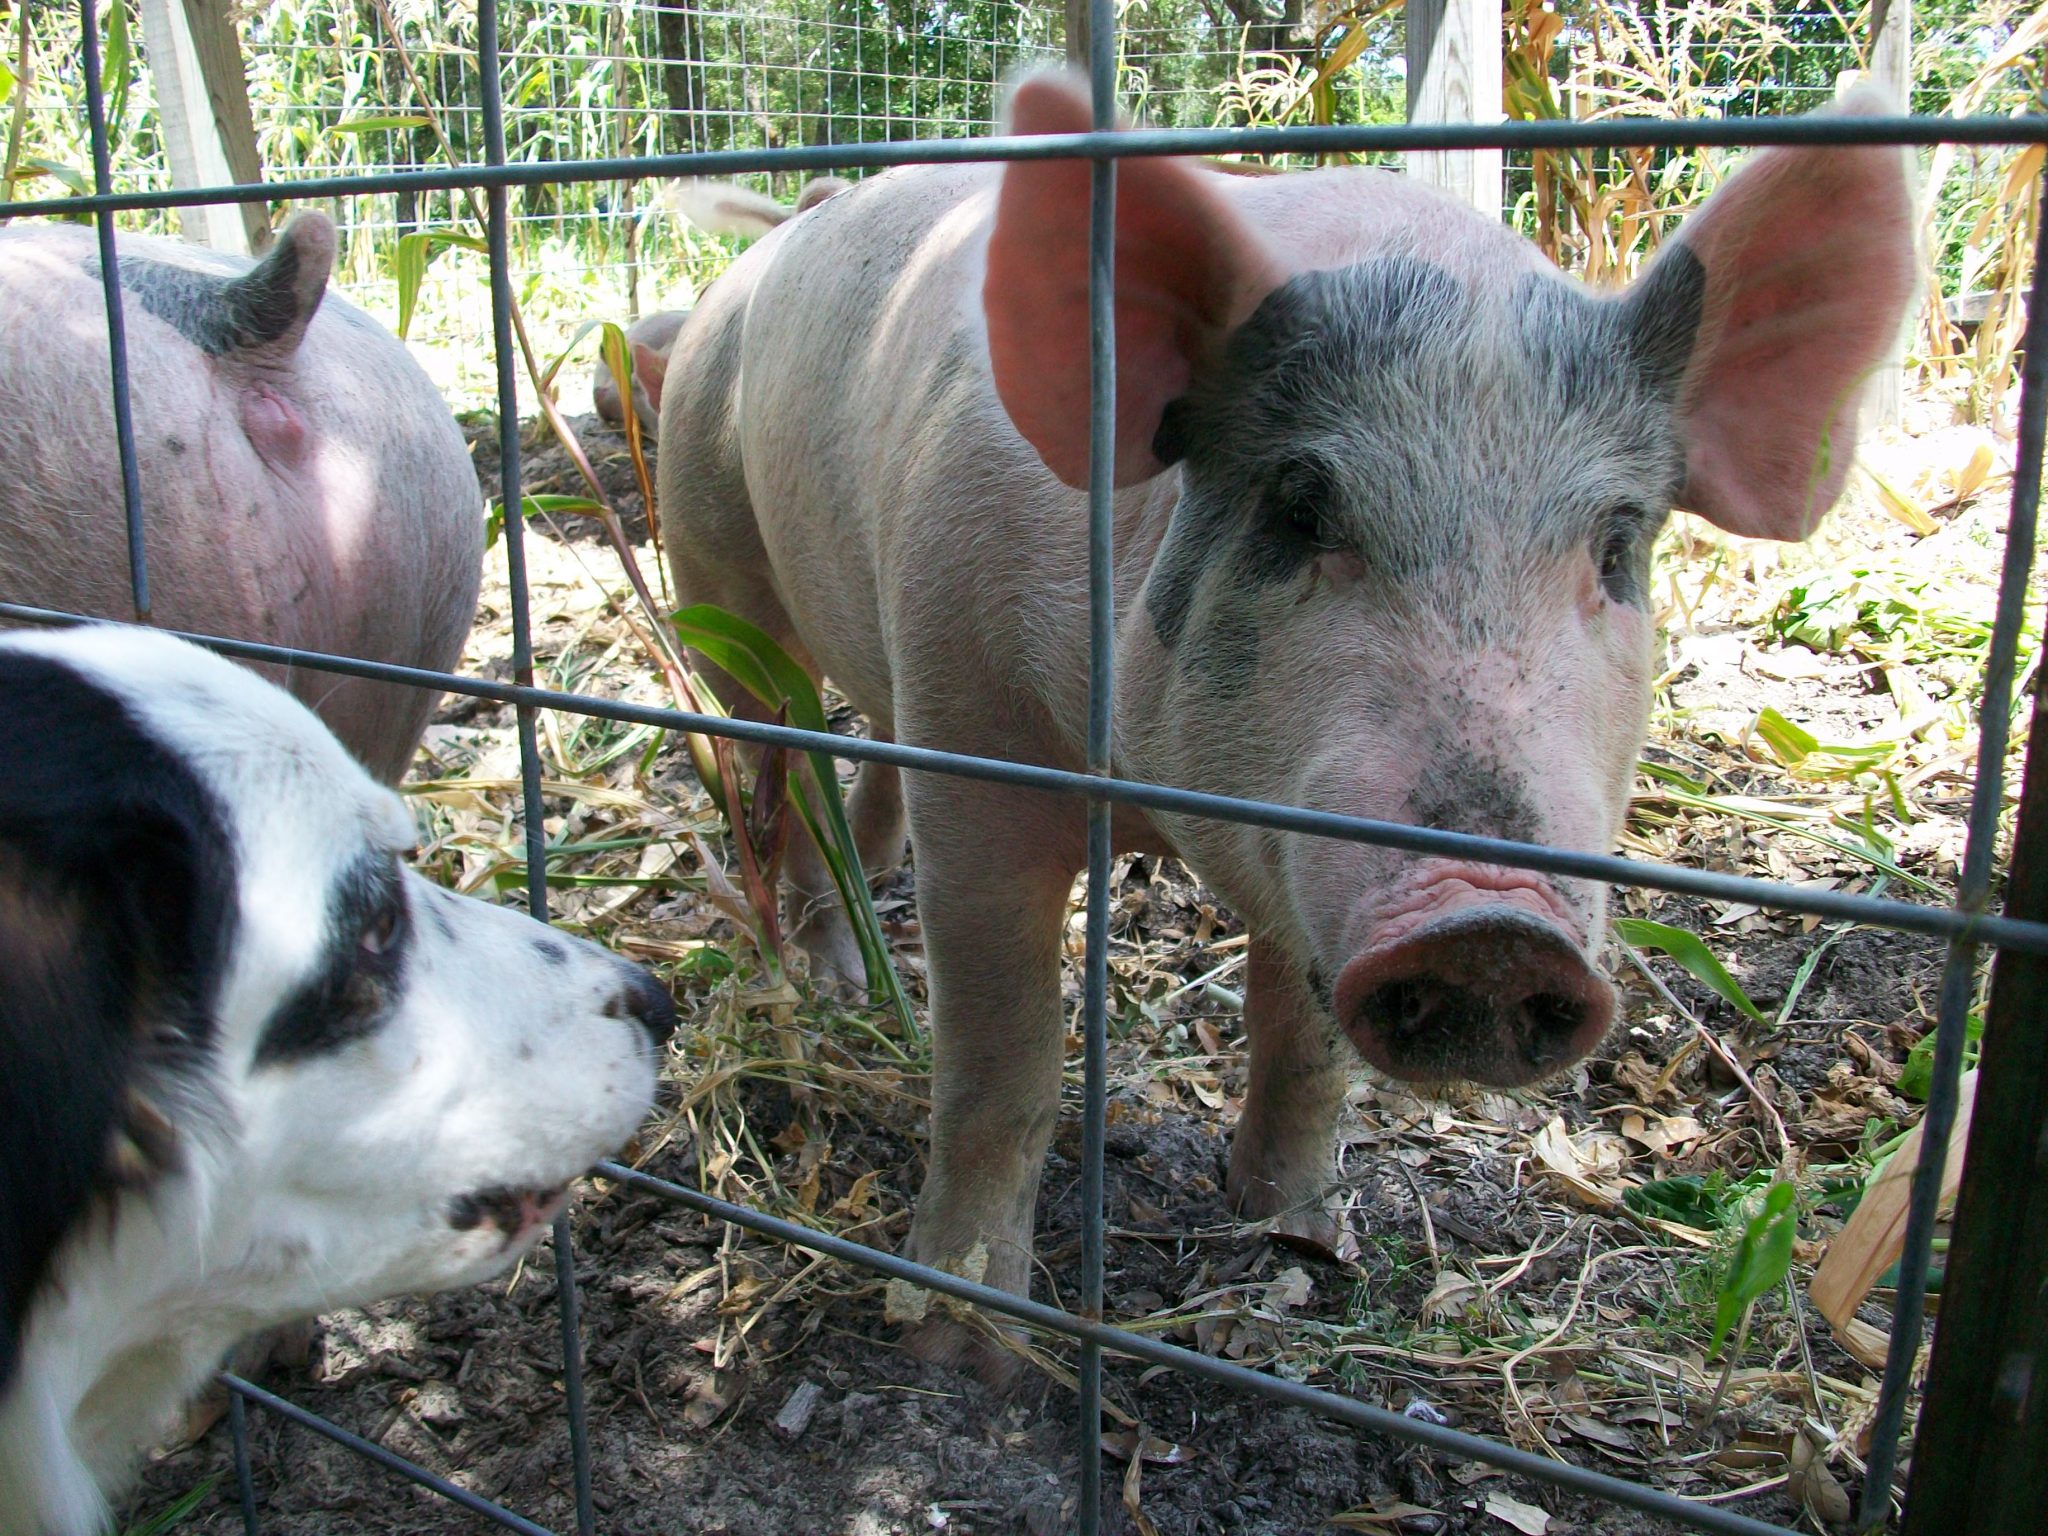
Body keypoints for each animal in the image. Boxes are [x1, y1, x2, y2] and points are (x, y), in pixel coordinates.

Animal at [659, 72, 1916, 1376]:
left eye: (1615, 545)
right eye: (1298, 510)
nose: (1492, 925)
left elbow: (1303, 1038)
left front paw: (1299, 1231)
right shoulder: (969, 732)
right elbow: (1002, 1058)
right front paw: (963, 1346)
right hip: (714, 567)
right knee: (776, 755)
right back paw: (831, 984)